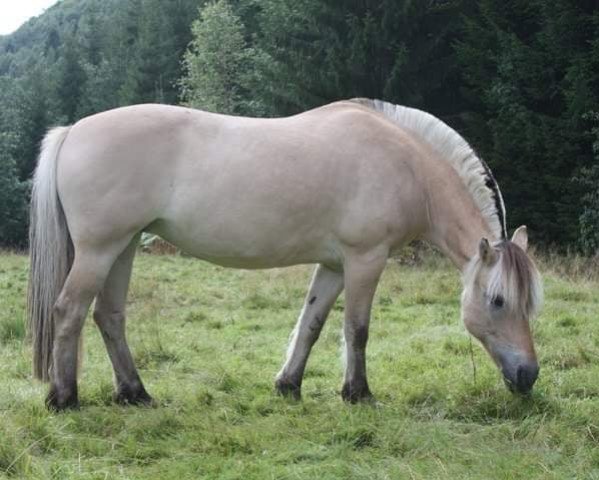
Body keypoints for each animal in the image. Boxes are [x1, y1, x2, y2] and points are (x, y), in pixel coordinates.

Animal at [28, 96, 544, 408]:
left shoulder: (333, 265)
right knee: (68, 310)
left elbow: (311, 324)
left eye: (530, 304)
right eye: (498, 301)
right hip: (99, 250)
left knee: (108, 316)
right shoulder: (365, 259)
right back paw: (65, 398)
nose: (528, 376)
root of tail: (72, 130)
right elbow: (357, 330)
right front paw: (357, 393)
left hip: (125, 246)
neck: (405, 164)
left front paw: (288, 385)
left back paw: (135, 393)